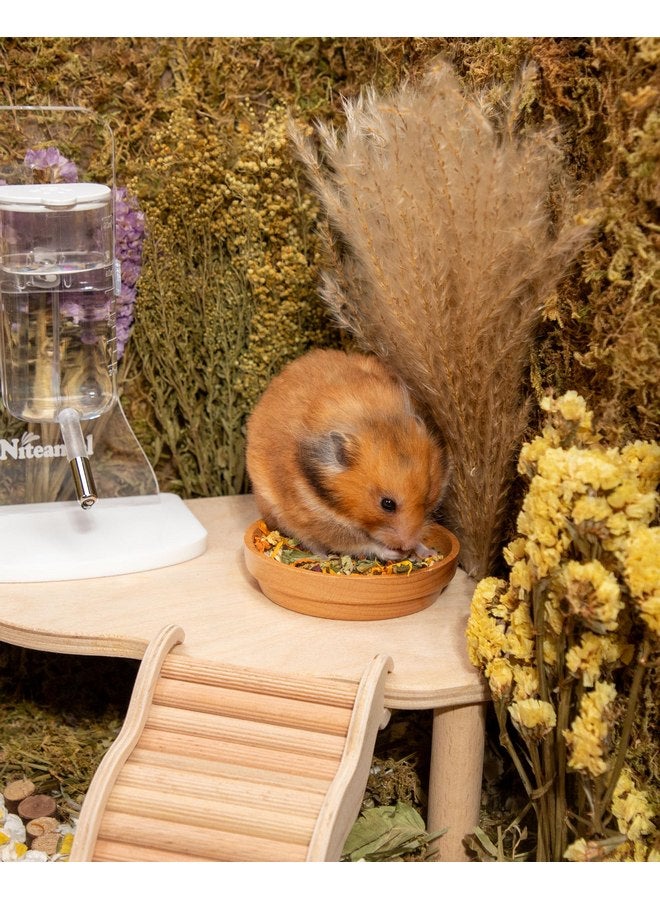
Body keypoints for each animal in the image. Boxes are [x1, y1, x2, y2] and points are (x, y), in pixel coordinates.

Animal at [245, 348, 448, 560]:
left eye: (427, 494)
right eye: (387, 504)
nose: (407, 544)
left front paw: (424, 549)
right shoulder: (322, 520)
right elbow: (363, 542)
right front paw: (394, 554)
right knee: (310, 542)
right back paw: (324, 558)